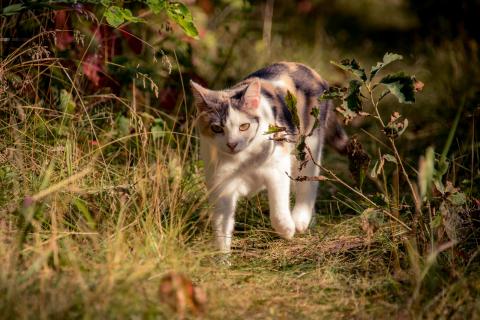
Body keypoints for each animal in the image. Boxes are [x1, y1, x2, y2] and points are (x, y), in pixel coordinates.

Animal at [190, 62, 348, 252]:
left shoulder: (278, 166)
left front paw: (287, 229)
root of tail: (308, 69)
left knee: (308, 184)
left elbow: (278, 209)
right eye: (216, 128)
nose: (232, 144)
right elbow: (221, 225)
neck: (242, 159)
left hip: (309, 143)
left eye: (244, 126)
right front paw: (222, 257)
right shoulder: (221, 184)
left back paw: (300, 220)